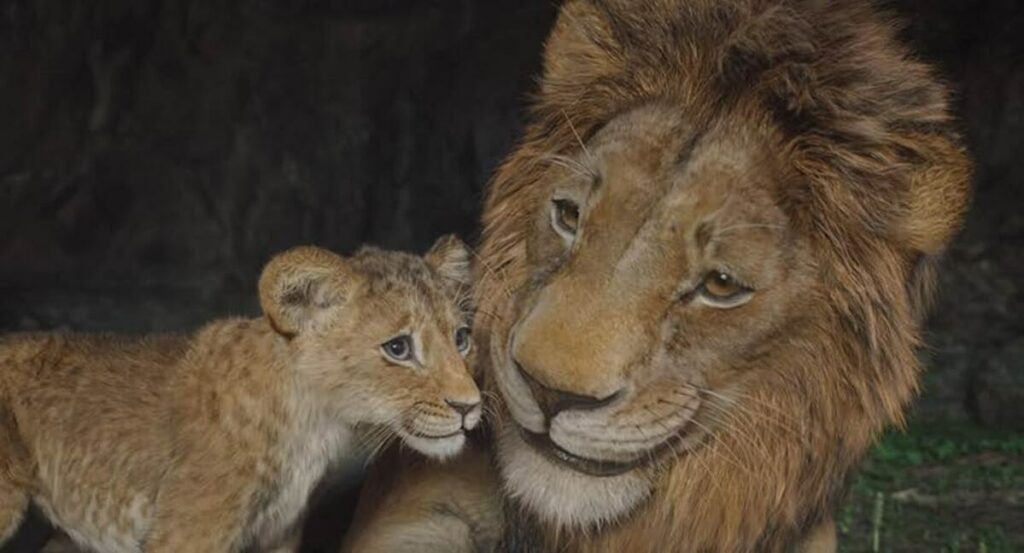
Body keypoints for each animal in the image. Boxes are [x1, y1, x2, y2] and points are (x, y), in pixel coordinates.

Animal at [0, 236, 482, 553]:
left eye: (461, 339)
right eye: (398, 348)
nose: (469, 406)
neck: (314, 424)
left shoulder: (280, 534)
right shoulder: (188, 532)